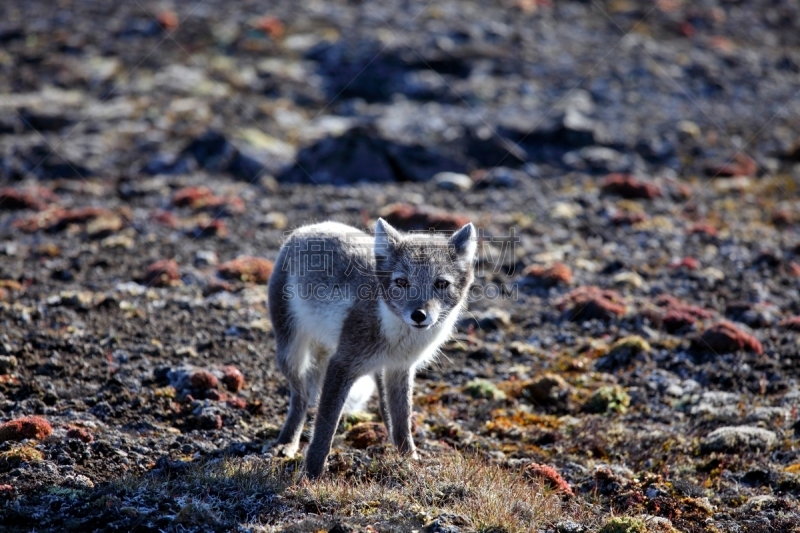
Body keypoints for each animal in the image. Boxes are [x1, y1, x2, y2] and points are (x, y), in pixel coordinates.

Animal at [268, 216, 476, 478]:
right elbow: (326, 425)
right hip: (290, 352)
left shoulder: (401, 368)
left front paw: (409, 459)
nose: (419, 315)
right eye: (401, 282)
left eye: (441, 283)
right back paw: (287, 442)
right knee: (301, 397)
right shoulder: (342, 363)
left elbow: (402, 419)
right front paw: (312, 472)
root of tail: (310, 227)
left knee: (382, 404)